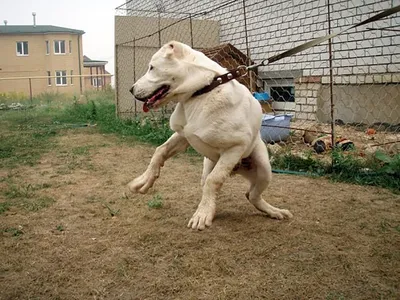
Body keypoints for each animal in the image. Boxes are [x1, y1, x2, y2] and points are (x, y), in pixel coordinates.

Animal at [130, 41, 292, 231]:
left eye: (152, 67)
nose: (131, 90)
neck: (204, 90)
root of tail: (236, 170)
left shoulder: (235, 147)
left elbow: (214, 180)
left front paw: (202, 215)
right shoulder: (183, 136)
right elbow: (159, 151)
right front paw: (144, 180)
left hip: (264, 169)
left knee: (251, 195)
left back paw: (275, 211)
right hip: (208, 166)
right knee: (231, 190)